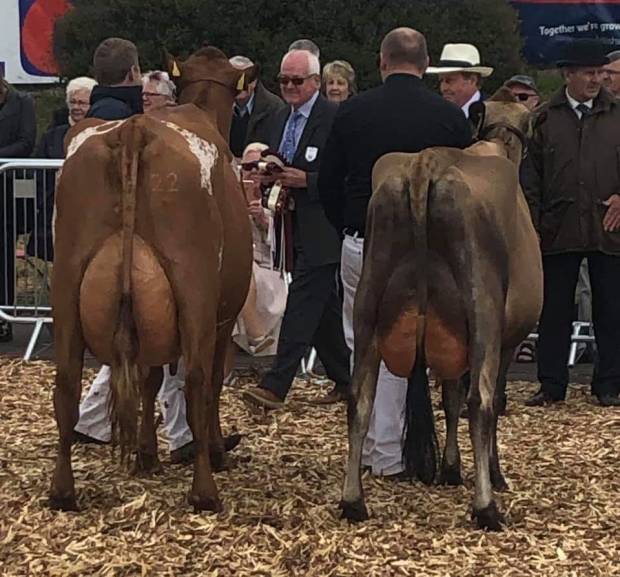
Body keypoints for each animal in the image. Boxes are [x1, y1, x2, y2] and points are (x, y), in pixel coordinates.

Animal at [48, 46, 252, 512]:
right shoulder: (224, 316)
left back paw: (62, 491)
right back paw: (205, 491)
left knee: (66, 381)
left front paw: (146, 455)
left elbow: (149, 377)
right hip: (194, 290)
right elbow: (210, 382)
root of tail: (134, 129)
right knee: (197, 381)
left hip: (66, 282)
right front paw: (215, 450)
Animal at [340, 88, 544, 528]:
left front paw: (450, 468)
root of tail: (424, 164)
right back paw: (486, 507)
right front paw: (494, 474)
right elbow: (488, 401)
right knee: (481, 402)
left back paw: (353, 501)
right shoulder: (507, 339)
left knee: (359, 398)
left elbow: (449, 395)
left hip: (367, 306)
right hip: (482, 310)